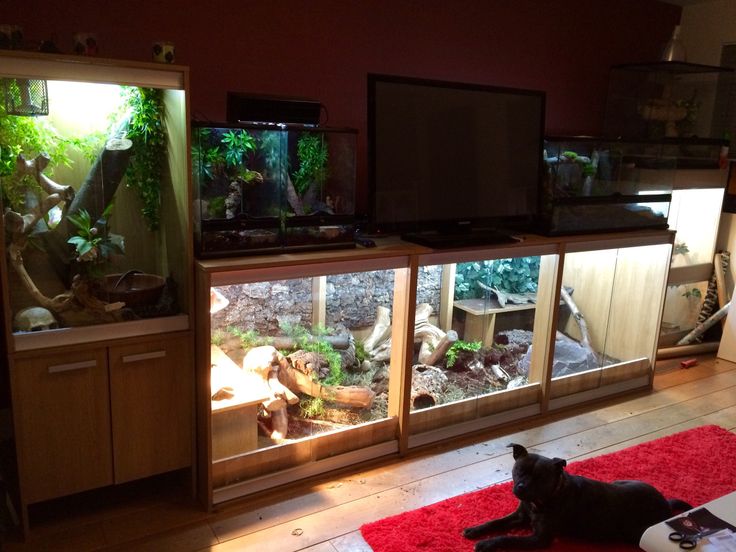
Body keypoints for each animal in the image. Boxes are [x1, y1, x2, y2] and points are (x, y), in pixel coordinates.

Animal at [462, 444, 692, 552]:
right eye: (519, 470)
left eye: (540, 477)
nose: (520, 487)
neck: (546, 498)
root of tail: (665, 504)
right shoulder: (520, 516)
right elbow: (496, 522)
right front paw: (476, 530)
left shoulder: (539, 539)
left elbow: (508, 537)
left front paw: (487, 543)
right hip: (621, 481)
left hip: (636, 532)